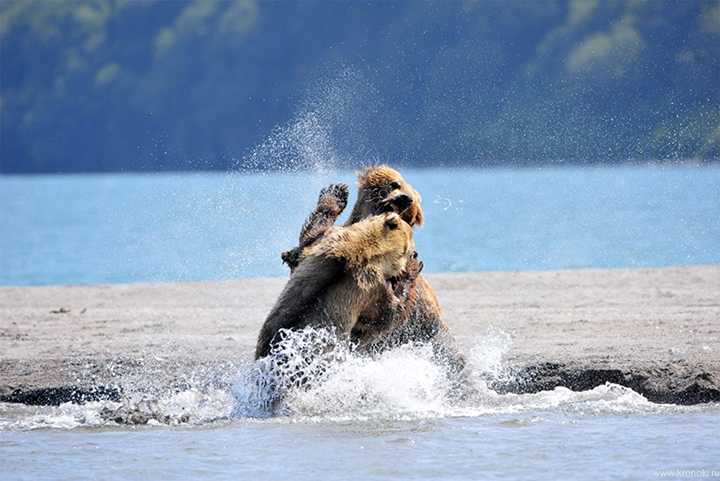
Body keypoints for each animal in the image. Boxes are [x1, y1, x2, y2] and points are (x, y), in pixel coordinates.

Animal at [278, 165, 470, 378]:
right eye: (395, 183)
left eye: (411, 202)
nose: (404, 198)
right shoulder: (328, 244)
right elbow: (308, 241)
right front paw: (336, 193)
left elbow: (385, 314)